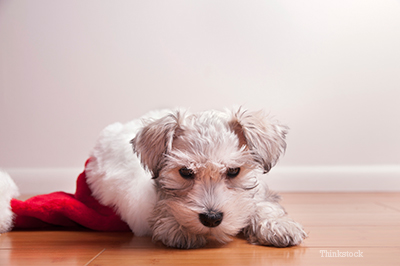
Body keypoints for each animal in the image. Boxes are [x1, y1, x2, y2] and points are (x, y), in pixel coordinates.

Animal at [86, 107, 308, 248]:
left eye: (233, 171)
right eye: (185, 172)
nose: (211, 218)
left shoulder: (261, 192)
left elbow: (262, 205)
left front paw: (278, 225)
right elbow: (164, 205)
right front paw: (177, 226)